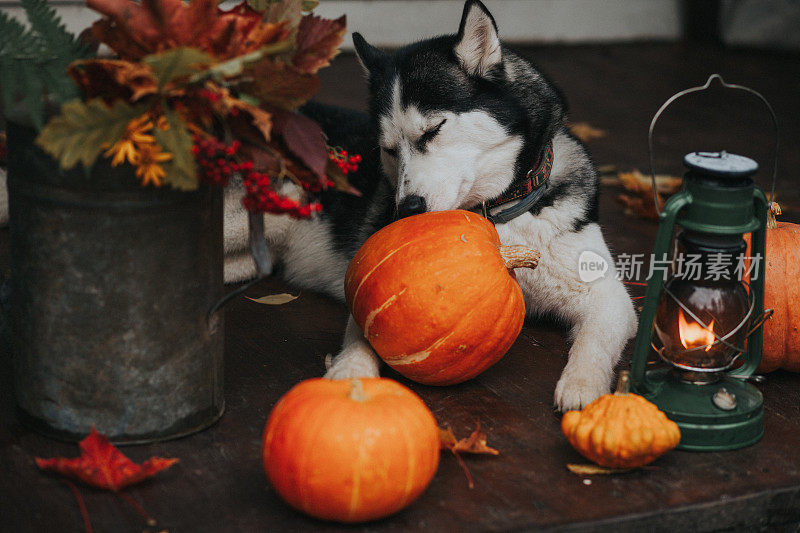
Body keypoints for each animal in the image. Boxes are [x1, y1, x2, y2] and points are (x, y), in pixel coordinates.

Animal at [225, 0, 636, 410]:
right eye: (388, 149)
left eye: (433, 130)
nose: (406, 208)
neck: (496, 212)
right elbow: (362, 330)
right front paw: (351, 371)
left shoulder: (608, 295)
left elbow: (598, 337)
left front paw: (584, 388)